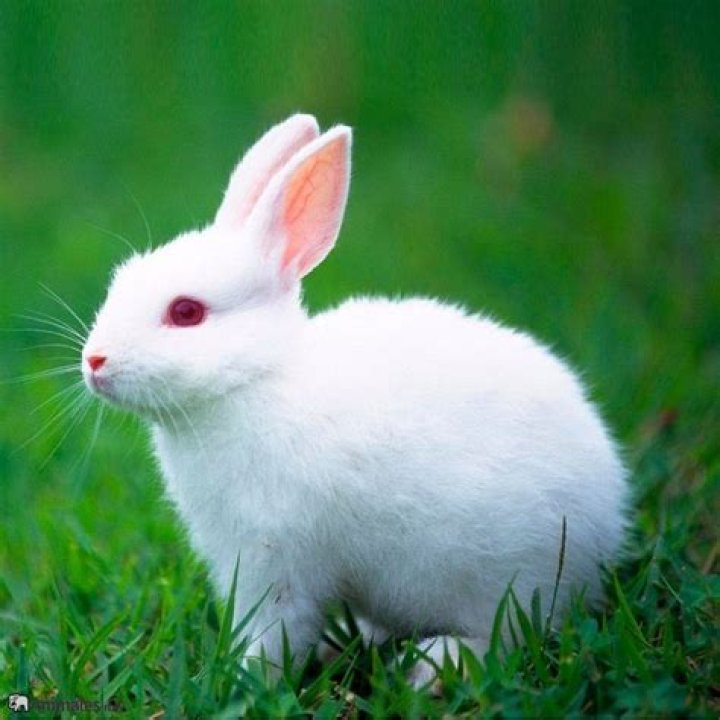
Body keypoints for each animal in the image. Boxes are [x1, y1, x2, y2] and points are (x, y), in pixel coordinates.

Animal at [82, 113, 628, 685]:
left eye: (186, 312)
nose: (94, 361)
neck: (256, 380)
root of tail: (607, 523)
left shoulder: (276, 561)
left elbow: (275, 631)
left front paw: (244, 679)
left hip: (505, 577)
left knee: (508, 635)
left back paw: (433, 666)